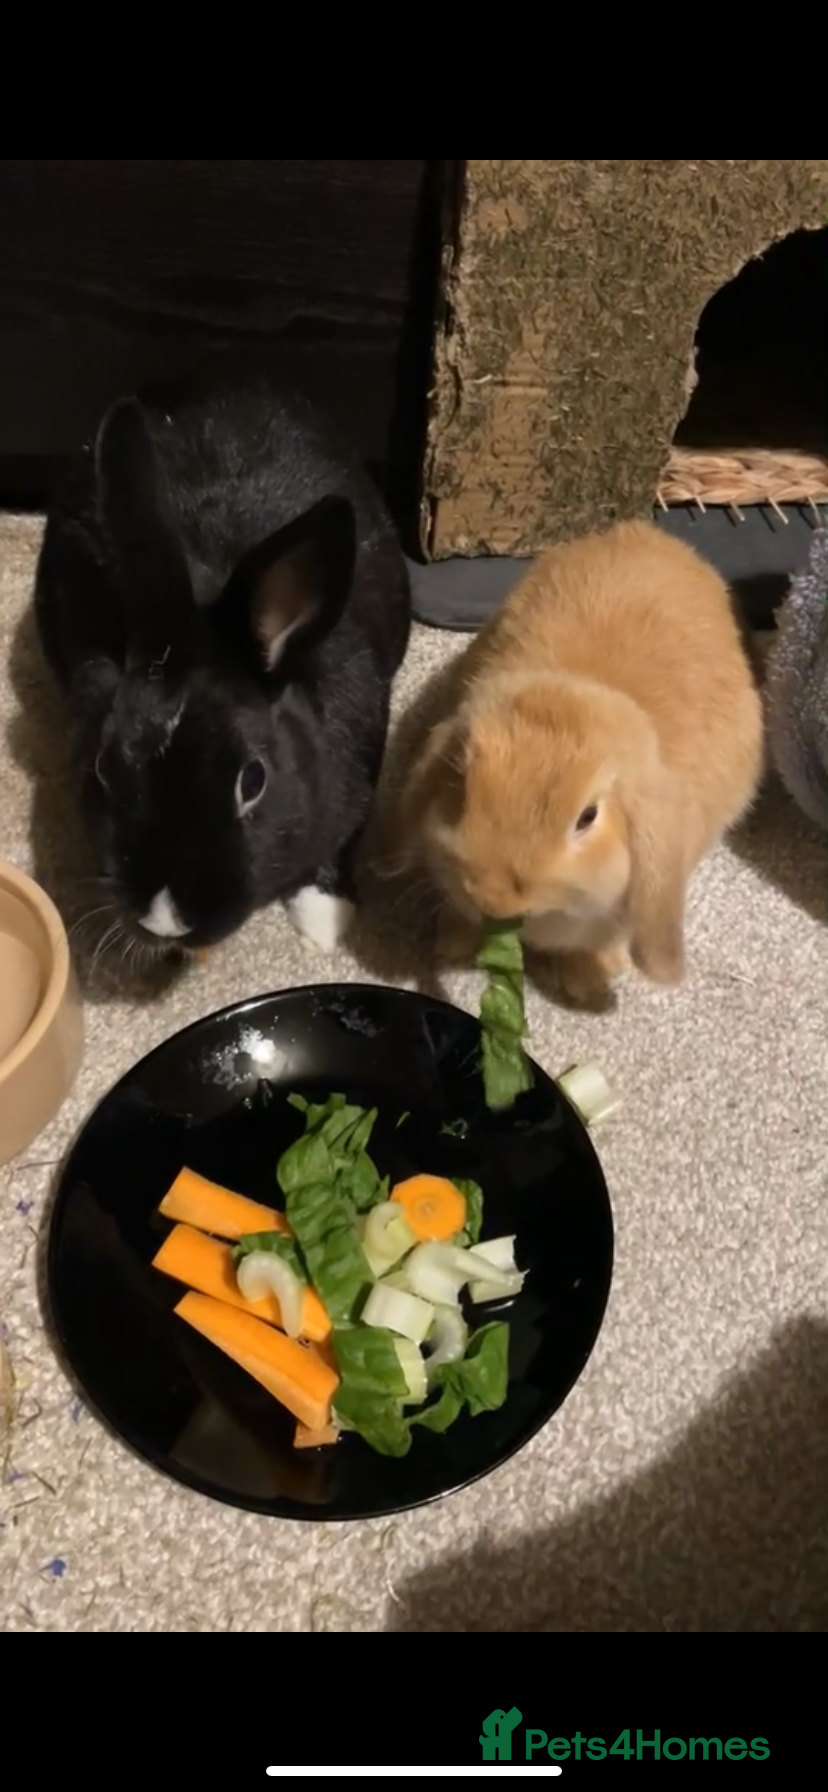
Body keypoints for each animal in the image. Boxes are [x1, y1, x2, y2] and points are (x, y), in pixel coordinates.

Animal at [398, 518, 764, 1007]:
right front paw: (454, 944)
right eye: (460, 780)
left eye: (587, 817)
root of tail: (652, 535)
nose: (492, 899)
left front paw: (586, 983)